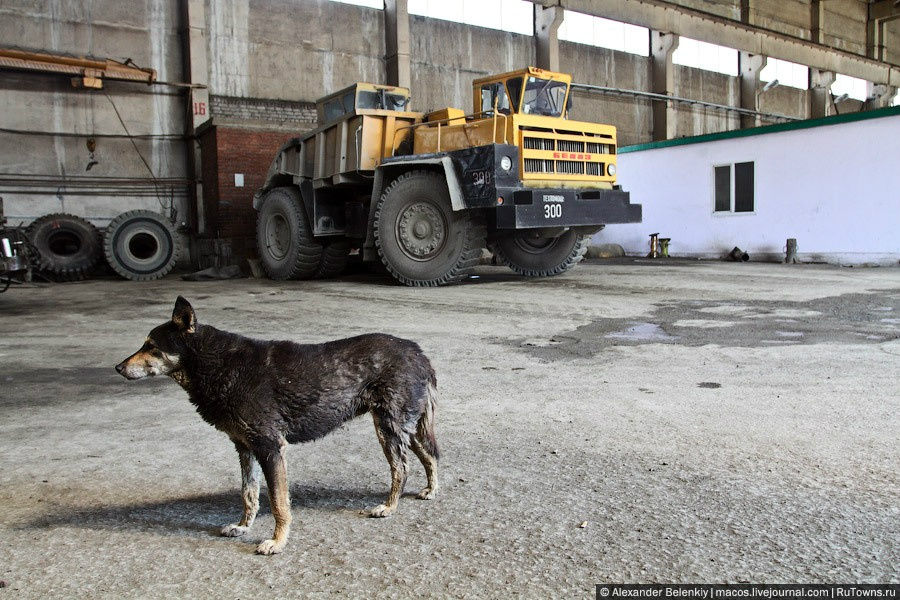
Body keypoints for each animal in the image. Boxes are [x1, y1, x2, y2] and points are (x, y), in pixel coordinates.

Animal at [116, 298, 440, 556]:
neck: (217, 363)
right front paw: (243, 526)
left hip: (389, 427)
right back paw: (430, 490)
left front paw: (277, 541)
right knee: (430, 456)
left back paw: (389, 507)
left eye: (151, 346)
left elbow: (278, 502)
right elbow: (249, 493)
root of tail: (419, 352)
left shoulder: (270, 448)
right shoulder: (245, 448)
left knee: (402, 467)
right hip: (405, 426)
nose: (118, 368)